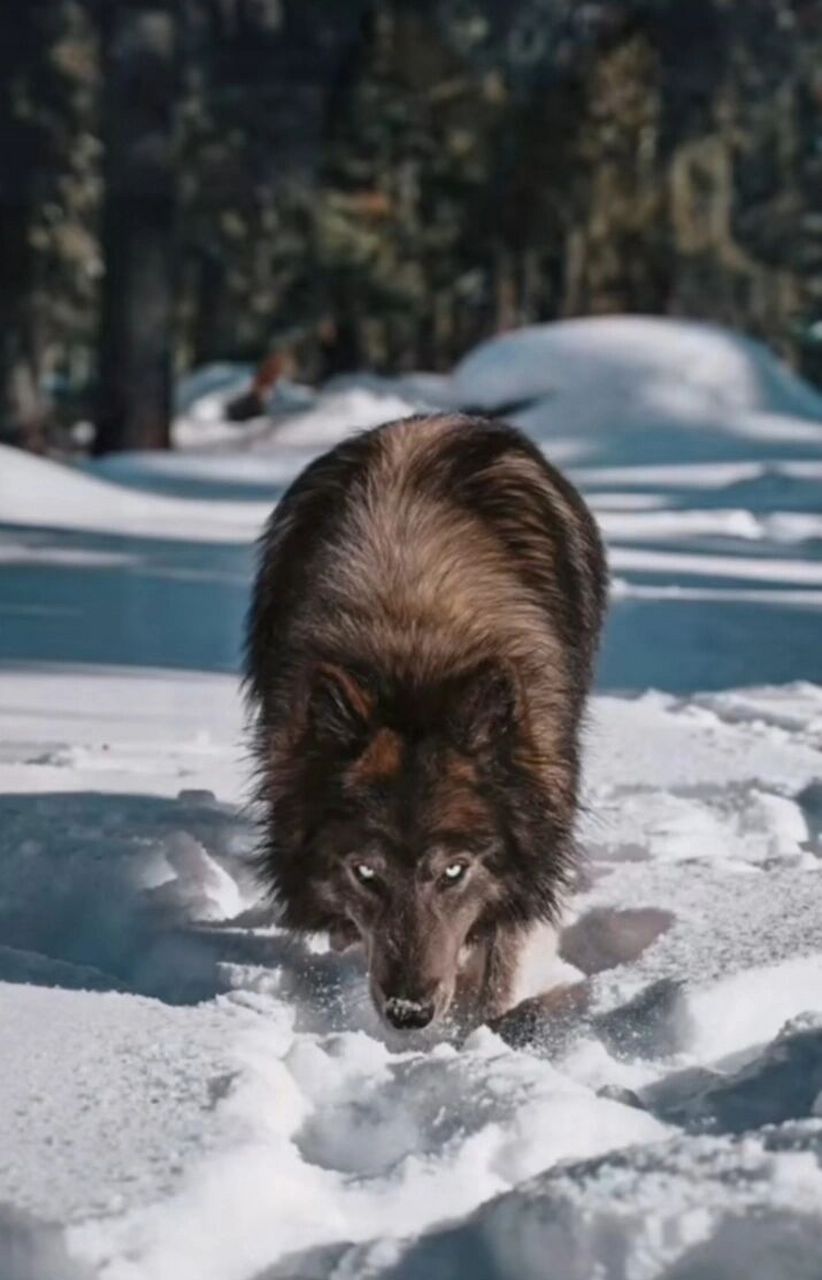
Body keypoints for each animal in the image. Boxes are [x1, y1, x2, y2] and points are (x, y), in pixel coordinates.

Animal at [245, 414, 604, 1034]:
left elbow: (501, 959)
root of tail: (436, 419)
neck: (411, 654)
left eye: (454, 872)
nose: (408, 1014)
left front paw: (480, 1031)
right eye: (366, 873)